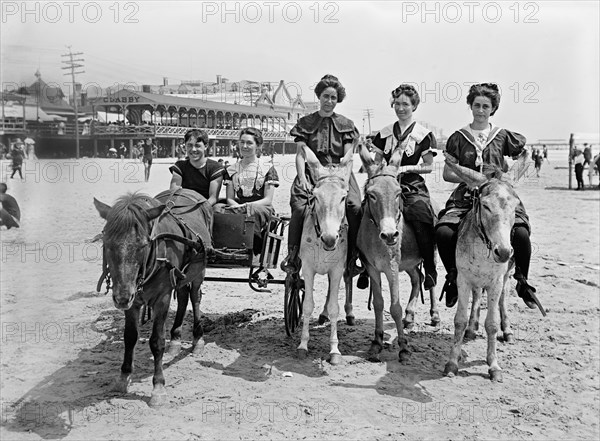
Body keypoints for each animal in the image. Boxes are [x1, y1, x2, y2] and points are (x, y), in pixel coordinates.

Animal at [92, 190, 209, 406]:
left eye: (143, 245)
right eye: (107, 244)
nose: (121, 297)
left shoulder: (162, 298)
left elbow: (157, 342)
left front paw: (158, 387)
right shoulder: (133, 301)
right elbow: (130, 337)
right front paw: (123, 377)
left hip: (199, 272)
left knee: (195, 297)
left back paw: (198, 339)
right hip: (180, 277)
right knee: (182, 296)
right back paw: (176, 339)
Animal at [296, 148, 354, 364]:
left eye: (343, 198)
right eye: (315, 197)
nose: (329, 239)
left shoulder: (337, 269)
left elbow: (335, 307)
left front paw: (334, 350)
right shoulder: (308, 269)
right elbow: (307, 306)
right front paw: (303, 345)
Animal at [358, 144, 438, 360]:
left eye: (398, 192)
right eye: (371, 194)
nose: (390, 235)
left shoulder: (392, 268)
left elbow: (395, 307)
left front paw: (403, 346)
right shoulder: (372, 268)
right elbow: (378, 303)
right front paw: (376, 343)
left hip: (430, 253)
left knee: (431, 279)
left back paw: (434, 314)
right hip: (409, 263)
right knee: (417, 278)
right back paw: (409, 318)